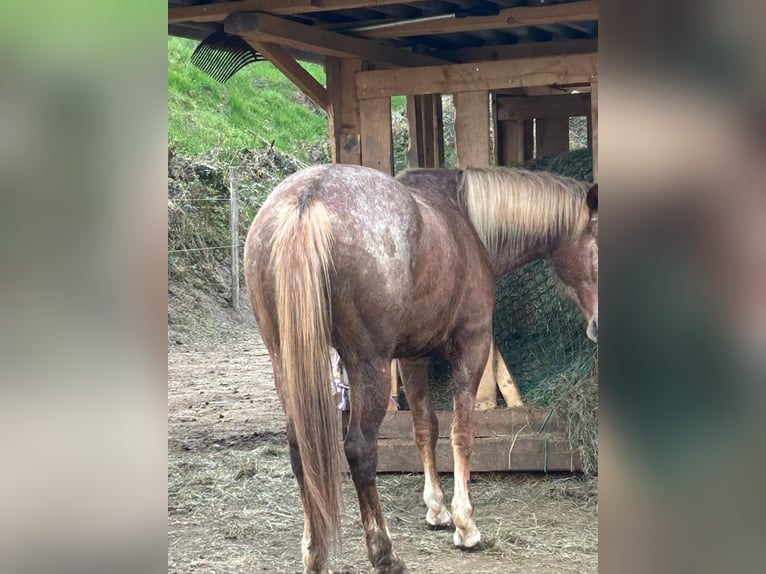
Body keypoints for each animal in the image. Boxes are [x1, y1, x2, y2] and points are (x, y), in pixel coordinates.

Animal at [244, 163, 598, 573]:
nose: (599, 326)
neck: (464, 217)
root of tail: (309, 197)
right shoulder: (472, 345)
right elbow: (461, 432)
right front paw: (465, 524)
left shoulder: (412, 357)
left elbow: (425, 428)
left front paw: (437, 509)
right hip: (368, 367)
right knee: (360, 450)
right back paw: (384, 553)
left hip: (286, 365)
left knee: (302, 450)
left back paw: (315, 554)